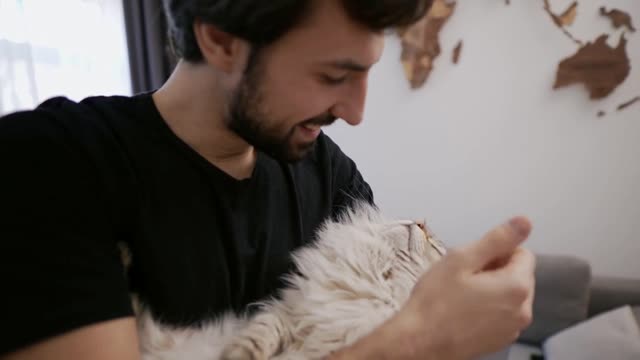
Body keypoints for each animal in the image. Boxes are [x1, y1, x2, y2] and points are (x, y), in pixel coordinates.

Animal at [135, 204, 444, 358]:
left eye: (436, 246)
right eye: (426, 233)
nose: (420, 223)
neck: (377, 274)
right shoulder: (286, 313)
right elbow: (260, 335)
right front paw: (239, 353)